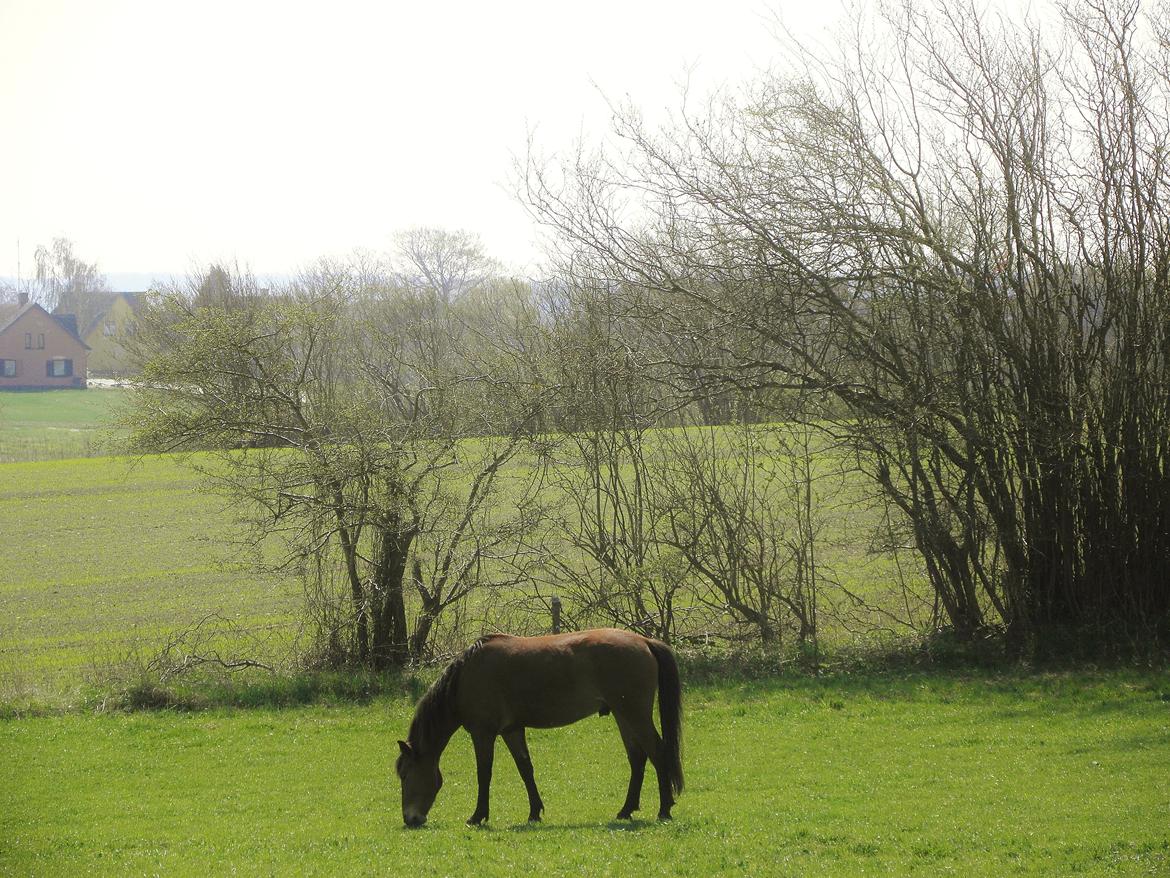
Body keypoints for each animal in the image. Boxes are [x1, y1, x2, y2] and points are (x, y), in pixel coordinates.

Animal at [395, 627, 683, 828]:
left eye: (405, 775)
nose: (410, 819)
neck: (466, 676)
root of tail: (644, 641)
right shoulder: (511, 731)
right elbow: (525, 769)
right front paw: (534, 812)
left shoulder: (483, 733)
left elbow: (484, 773)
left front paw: (478, 816)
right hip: (624, 716)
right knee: (638, 758)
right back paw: (626, 810)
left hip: (635, 714)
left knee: (658, 753)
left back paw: (664, 809)